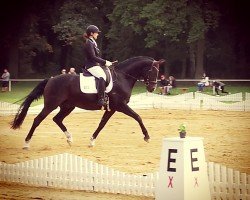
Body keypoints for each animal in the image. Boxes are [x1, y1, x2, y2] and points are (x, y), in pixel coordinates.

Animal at [11, 56, 165, 148]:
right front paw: (147, 137)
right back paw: (26, 143)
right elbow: (137, 117)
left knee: (57, 119)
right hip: (51, 105)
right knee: (38, 120)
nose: (152, 88)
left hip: (68, 106)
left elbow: (102, 124)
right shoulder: (120, 105)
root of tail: (51, 79)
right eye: (152, 71)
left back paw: (69, 139)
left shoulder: (112, 108)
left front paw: (92, 140)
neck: (122, 77)